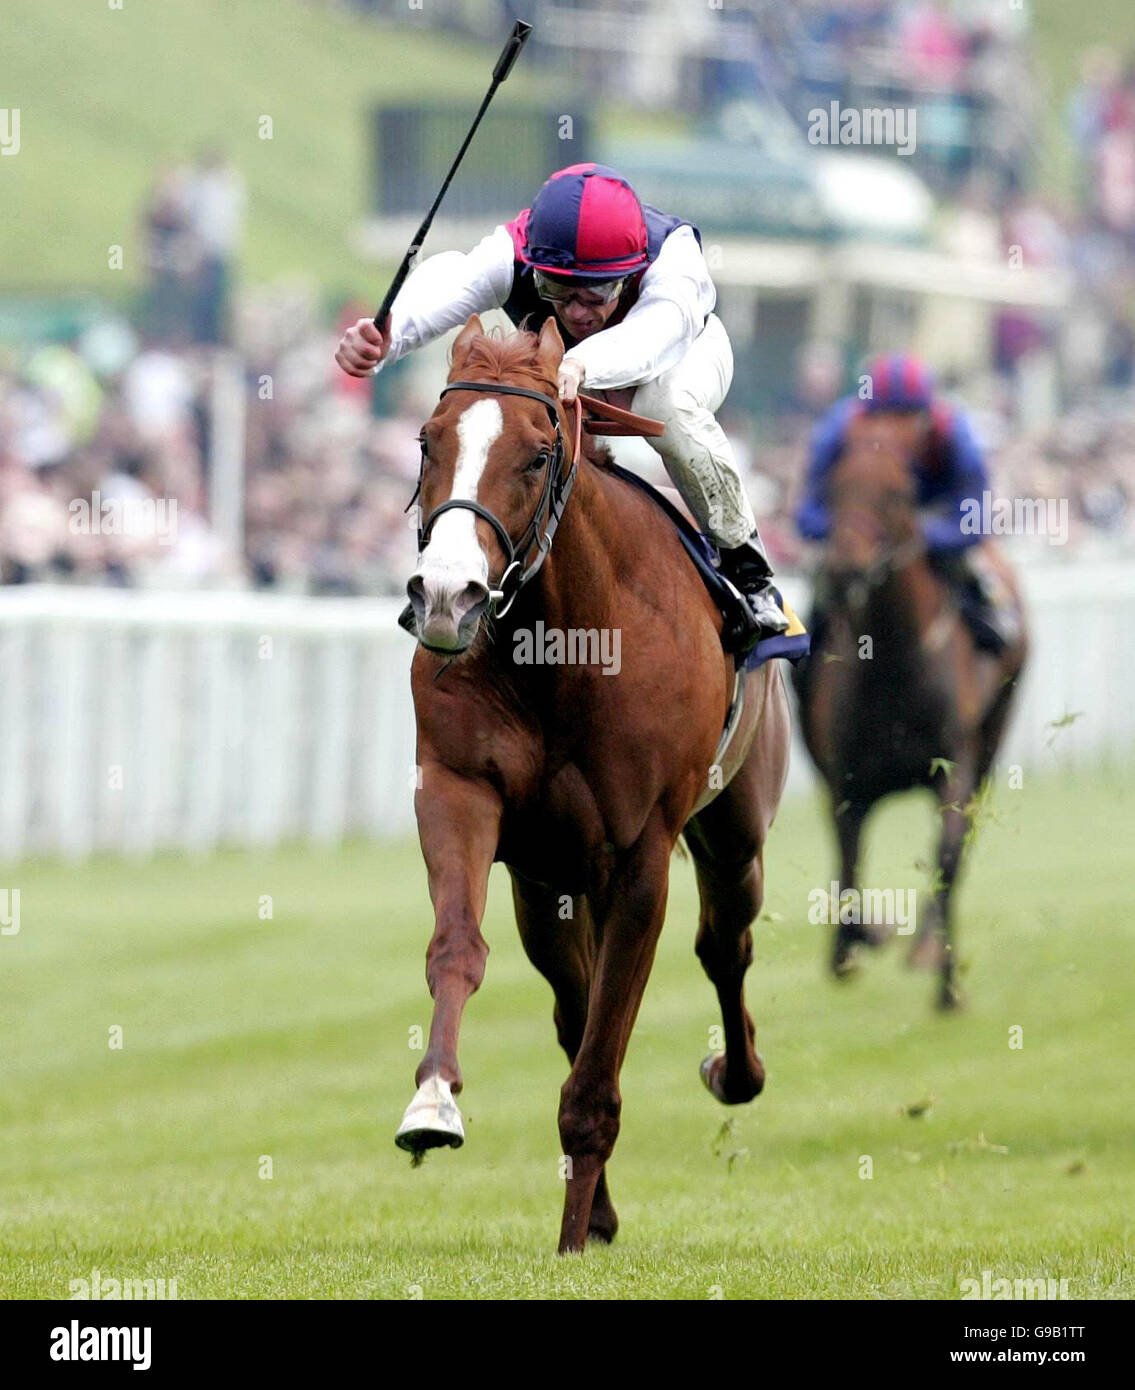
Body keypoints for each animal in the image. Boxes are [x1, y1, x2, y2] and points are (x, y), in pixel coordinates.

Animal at [388, 318, 789, 1262]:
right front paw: (433, 1102)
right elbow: (458, 950)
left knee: (723, 944)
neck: (560, 648)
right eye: (427, 441)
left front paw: (573, 1238)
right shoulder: (460, 792)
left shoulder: (641, 854)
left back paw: (735, 1072)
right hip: (549, 883)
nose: (448, 598)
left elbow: (601, 1065)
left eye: (537, 456)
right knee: (575, 1006)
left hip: (734, 829)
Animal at [789, 411, 1028, 1011]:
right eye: (833, 489)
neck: (892, 668)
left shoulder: (953, 768)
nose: (844, 571)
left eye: (897, 494)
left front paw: (947, 983)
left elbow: (945, 855)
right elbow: (848, 867)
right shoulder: (847, 783)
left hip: (994, 734)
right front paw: (860, 940)